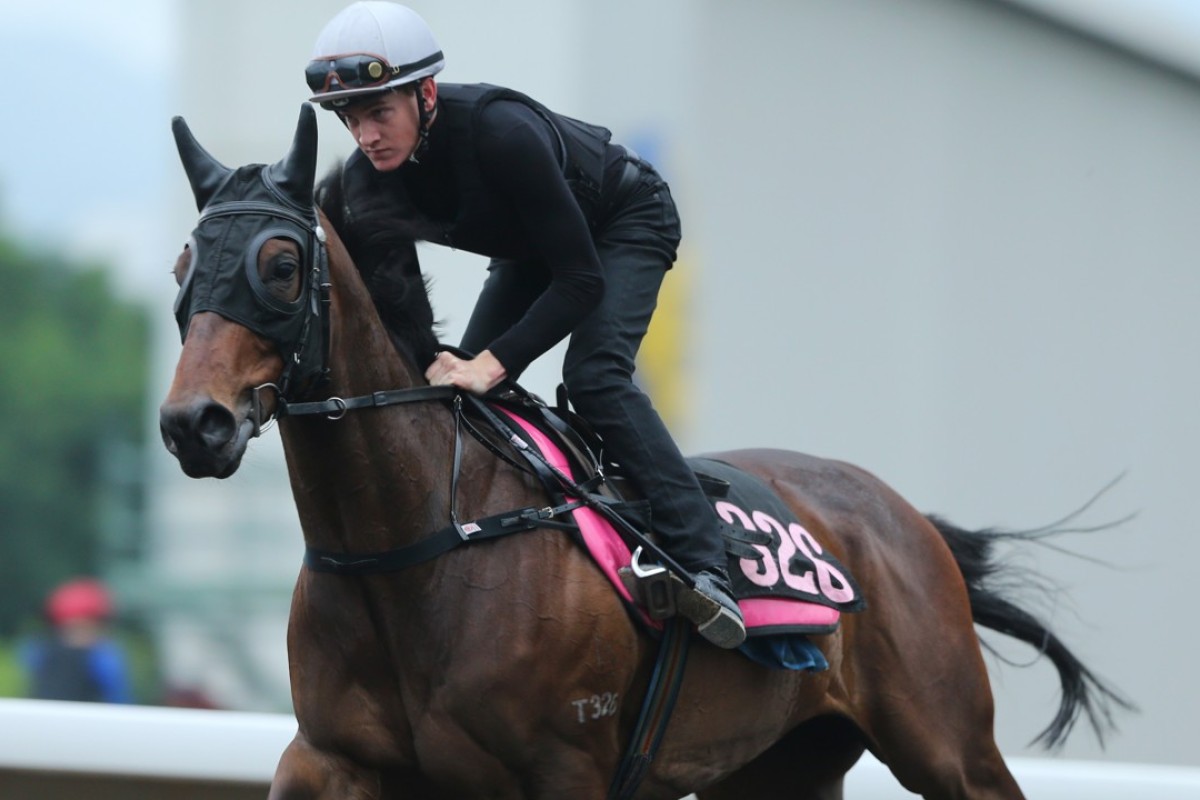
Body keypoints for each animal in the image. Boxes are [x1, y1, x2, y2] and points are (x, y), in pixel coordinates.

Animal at [157, 106, 1123, 800]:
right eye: (181, 270)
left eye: (281, 266)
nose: (192, 424)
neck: (415, 546)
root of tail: (905, 518)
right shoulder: (329, 758)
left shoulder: (563, 770)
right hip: (779, 766)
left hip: (950, 745)